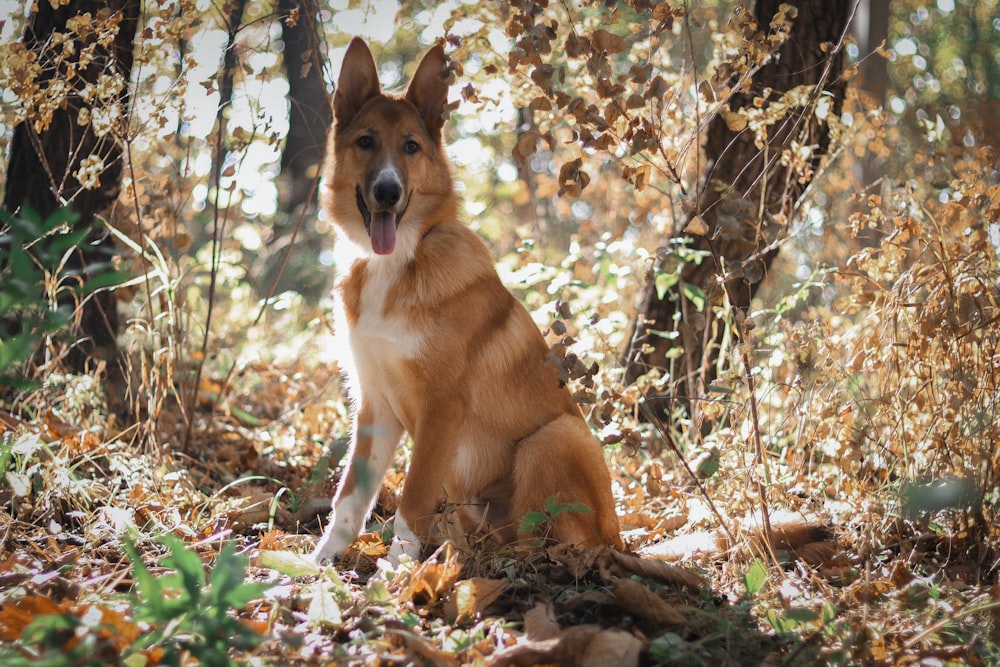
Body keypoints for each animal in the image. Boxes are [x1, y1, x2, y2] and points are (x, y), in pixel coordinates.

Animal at [314, 37, 624, 564]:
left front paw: (397, 572)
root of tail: (620, 540)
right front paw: (317, 563)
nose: (387, 192)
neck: (400, 261)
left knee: (553, 542)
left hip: (554, 437)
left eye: (411, 147)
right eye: (366, 142)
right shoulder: (374, 407)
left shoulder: (442, 409)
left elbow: (413, 500)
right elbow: (350, 499)